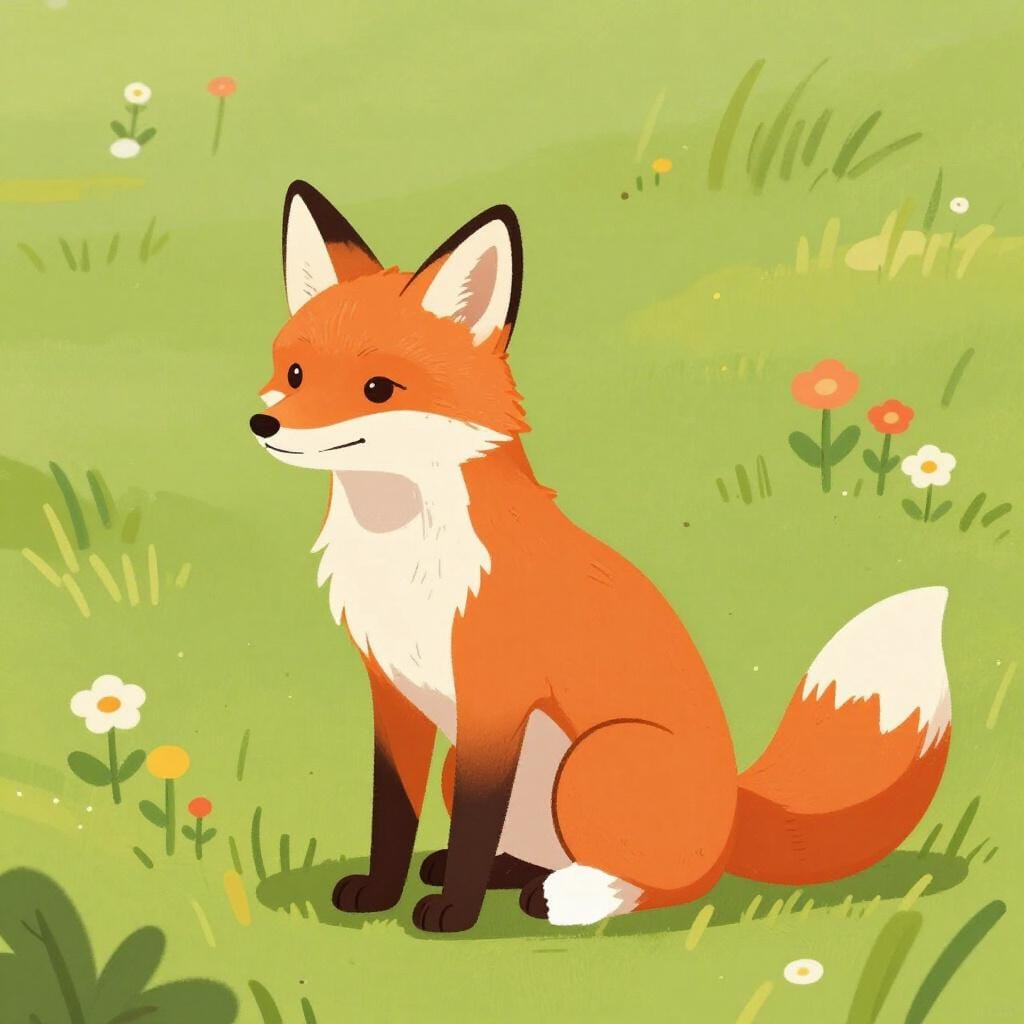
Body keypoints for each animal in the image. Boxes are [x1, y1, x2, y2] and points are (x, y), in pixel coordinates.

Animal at [251, 181, 952, 933]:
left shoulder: (494, 703)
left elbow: (473, 823)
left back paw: (570, 897)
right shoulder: (395, 696)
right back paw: (518, 874)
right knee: (548, 852)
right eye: (295, 372)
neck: (402, 554)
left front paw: (454, 913)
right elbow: (393, 815)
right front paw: (383, 893)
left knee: (680, 882)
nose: (264, 423)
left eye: (378, 388)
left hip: (593, 761)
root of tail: (737, 809)